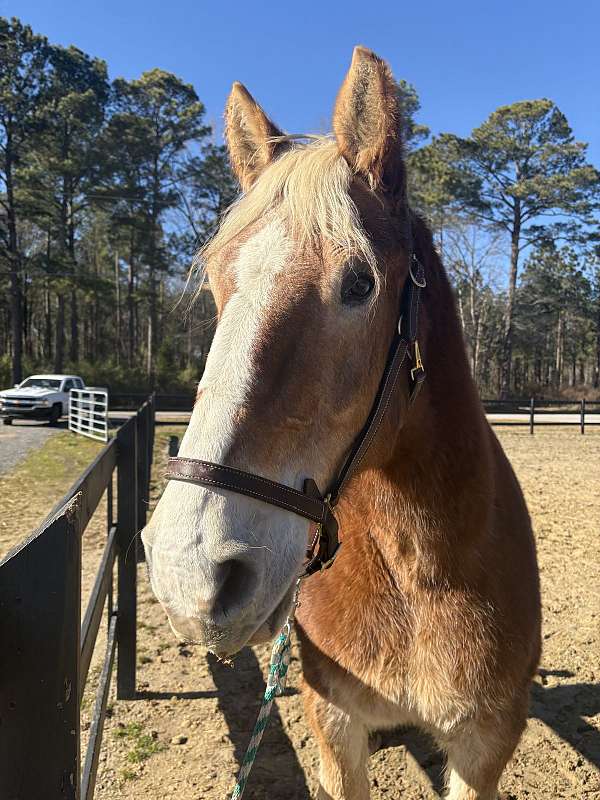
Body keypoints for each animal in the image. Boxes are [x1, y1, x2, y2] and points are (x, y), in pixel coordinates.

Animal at [143, 48, 540, 800]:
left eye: (361, 284)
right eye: (217, 284)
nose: (192, 575)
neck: (419, 572)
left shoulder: (486, 745)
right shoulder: (335, 726)